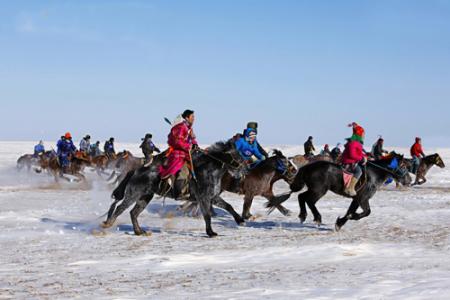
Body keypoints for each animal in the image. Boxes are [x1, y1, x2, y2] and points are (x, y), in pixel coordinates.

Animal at [268, 154, 412, 231]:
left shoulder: (356, 199)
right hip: (319, 190)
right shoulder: (363, 198)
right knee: (308, 200)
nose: (409, 180)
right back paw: (317, 218)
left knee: (301, 197)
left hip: (314, 189)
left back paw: (303, 215)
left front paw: (340, 223)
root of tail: (308, 167)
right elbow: (366, 212)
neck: (375, 173)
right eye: (403, 166)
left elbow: (351, 211)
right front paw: (351, 218)